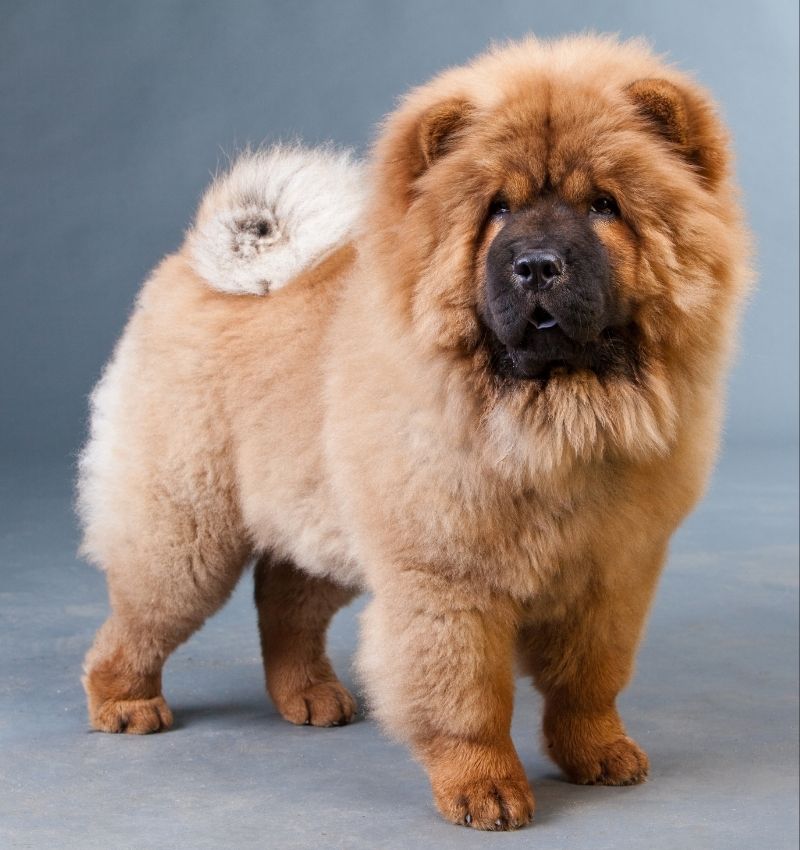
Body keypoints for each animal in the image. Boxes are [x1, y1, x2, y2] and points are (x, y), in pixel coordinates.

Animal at [76, 34, 752, 828]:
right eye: (498, 210)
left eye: (603, 207)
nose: (536, 265)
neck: (552, 416)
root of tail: (201, 267)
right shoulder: (444, 576)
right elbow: (467, 698)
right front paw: (485, 790)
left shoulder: (612, 573)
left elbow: (588, 681)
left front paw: (598, 754)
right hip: (188, 534)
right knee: (141, 615)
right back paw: (125, 704)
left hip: (320, 522)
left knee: (284, 599)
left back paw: (310, 696)